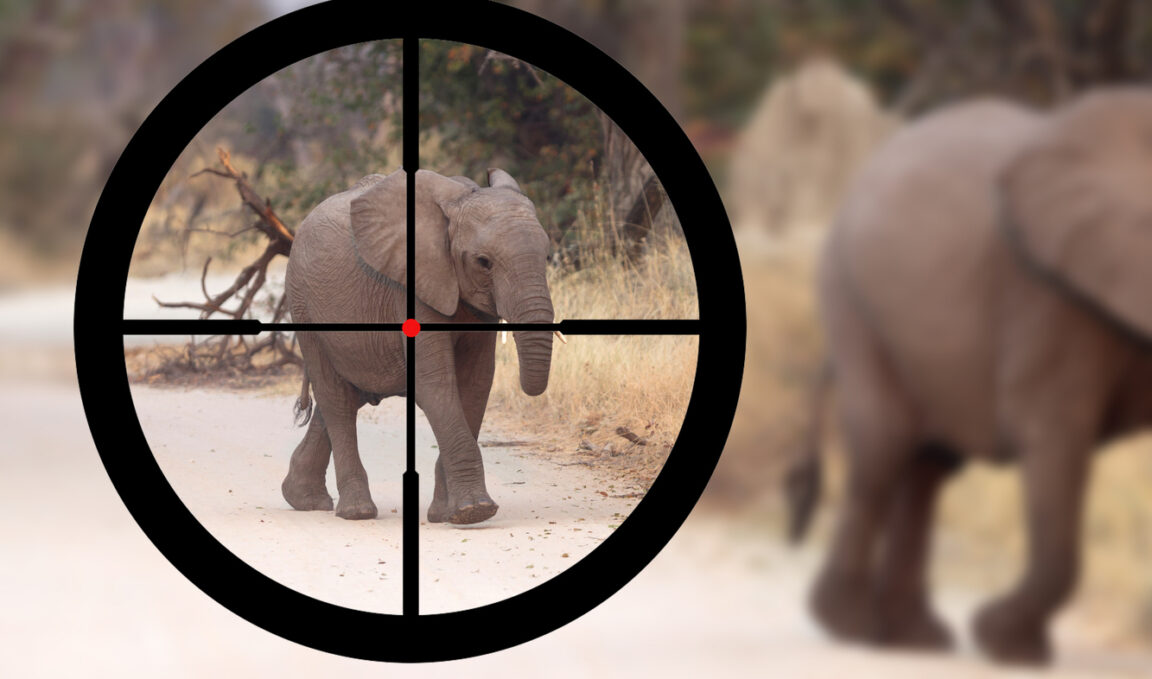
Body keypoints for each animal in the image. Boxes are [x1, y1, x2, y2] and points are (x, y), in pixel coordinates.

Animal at [282, 167, 554, 525]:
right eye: (483, 262)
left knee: (347, 395)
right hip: (303, 305)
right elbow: (435, 384)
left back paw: (304, 500)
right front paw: (475, 511)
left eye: (548, 256)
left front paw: (447, 514)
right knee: (336, 399)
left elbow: (476, 385)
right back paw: (357, 512)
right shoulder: (413, 288)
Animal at [785, 88, 1152, 664]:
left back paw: (913, 640)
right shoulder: (1048, 296)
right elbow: (1054, 433)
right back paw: (852, 628)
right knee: (883, 446)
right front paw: (1010, 649)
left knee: (926, 466)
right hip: (853, 298)